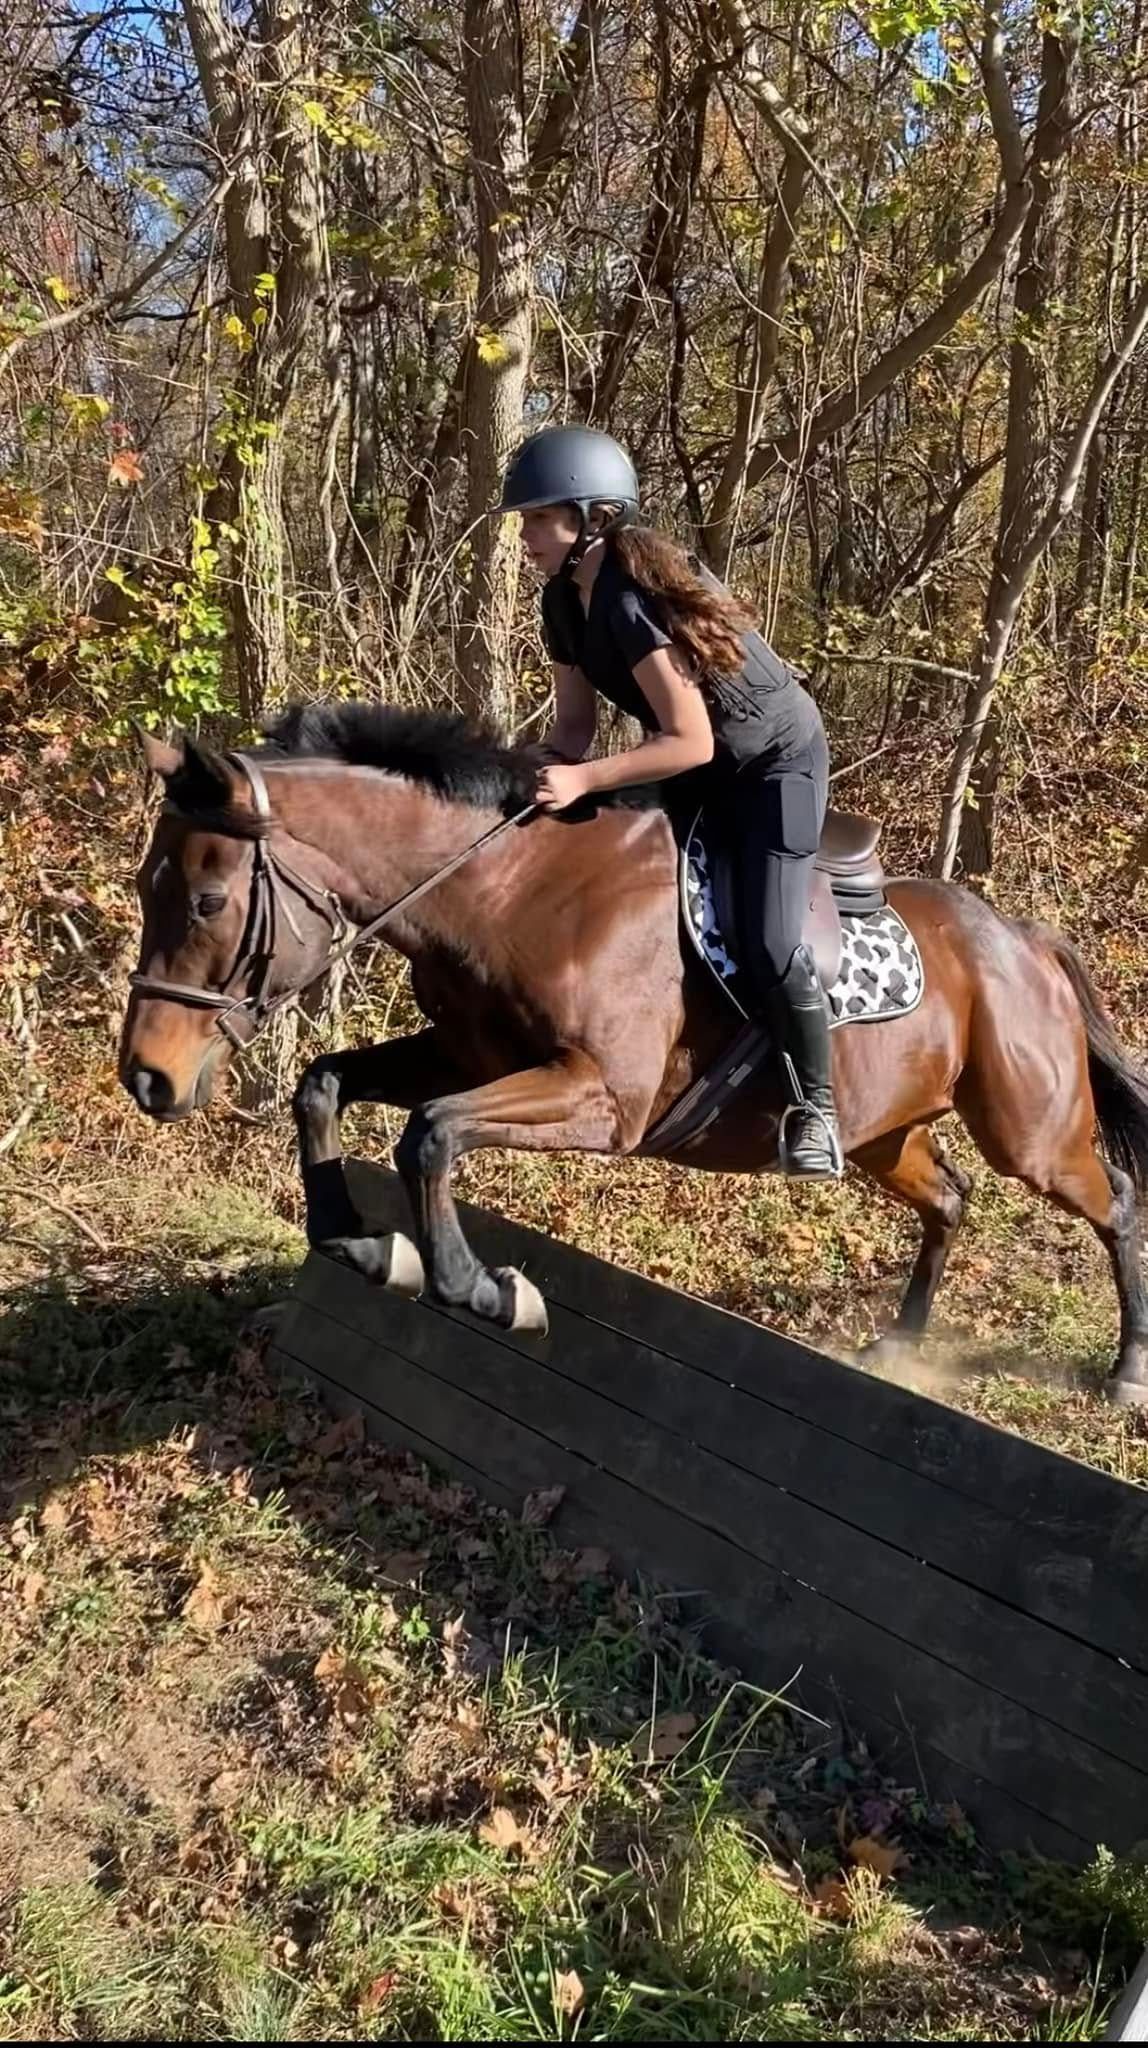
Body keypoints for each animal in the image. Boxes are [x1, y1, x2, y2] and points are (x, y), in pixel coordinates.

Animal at [118, 704, 1148, 1405]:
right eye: (143, 886)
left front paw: (484, 1290)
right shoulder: (463, 1055)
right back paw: (900, 1345)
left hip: (1031, 1132)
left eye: (207, 902)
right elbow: (325, 1086)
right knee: (950, 1199)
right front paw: (364, 1244)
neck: (506, 889)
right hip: (884, 1133)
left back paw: (1127, 1371)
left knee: (1115, 1202)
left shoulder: (601, 1099)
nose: (146, 1077)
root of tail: (1022, 936)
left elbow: (431, 1136)